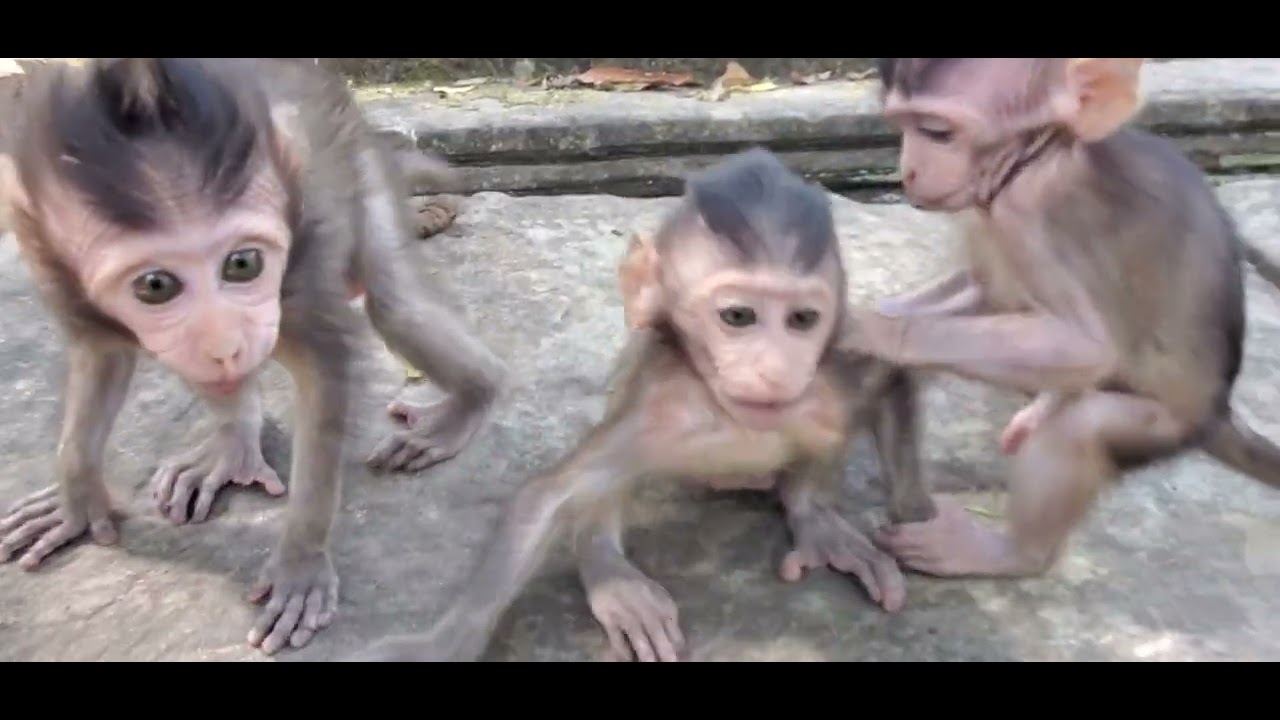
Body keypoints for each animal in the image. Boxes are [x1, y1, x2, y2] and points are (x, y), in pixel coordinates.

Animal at [0, 58, 506, 654]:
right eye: (155, 286)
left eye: (242, 264)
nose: (225, 342)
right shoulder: (48, 254)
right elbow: (101, 354)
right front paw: (75, 497)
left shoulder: (310, 237)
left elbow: (326, 372)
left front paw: (302, 562)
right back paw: (234, 443)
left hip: (354, 164)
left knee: (394, 304)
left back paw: (472, 400)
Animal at [345, 147, 937, 662]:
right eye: (738, 317)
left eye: (802, 320)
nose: (775, 367)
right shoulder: (661, 407)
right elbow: (547, 496)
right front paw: (435, 647)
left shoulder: (832, 373)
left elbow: (890, 377)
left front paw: (921, 528)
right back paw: (610, 573)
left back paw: (812, 514)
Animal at [841, 57, 1280, 581]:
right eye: (900, 125)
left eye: (936, 132)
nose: (907, 171)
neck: (1040, 152)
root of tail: (1218, 409)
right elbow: (990, 290)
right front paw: (883, 315)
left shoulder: (1024, 209)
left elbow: (1085, 346)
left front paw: (871, 330)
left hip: (1169, 424)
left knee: (1083, 425)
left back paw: (1013, 552)